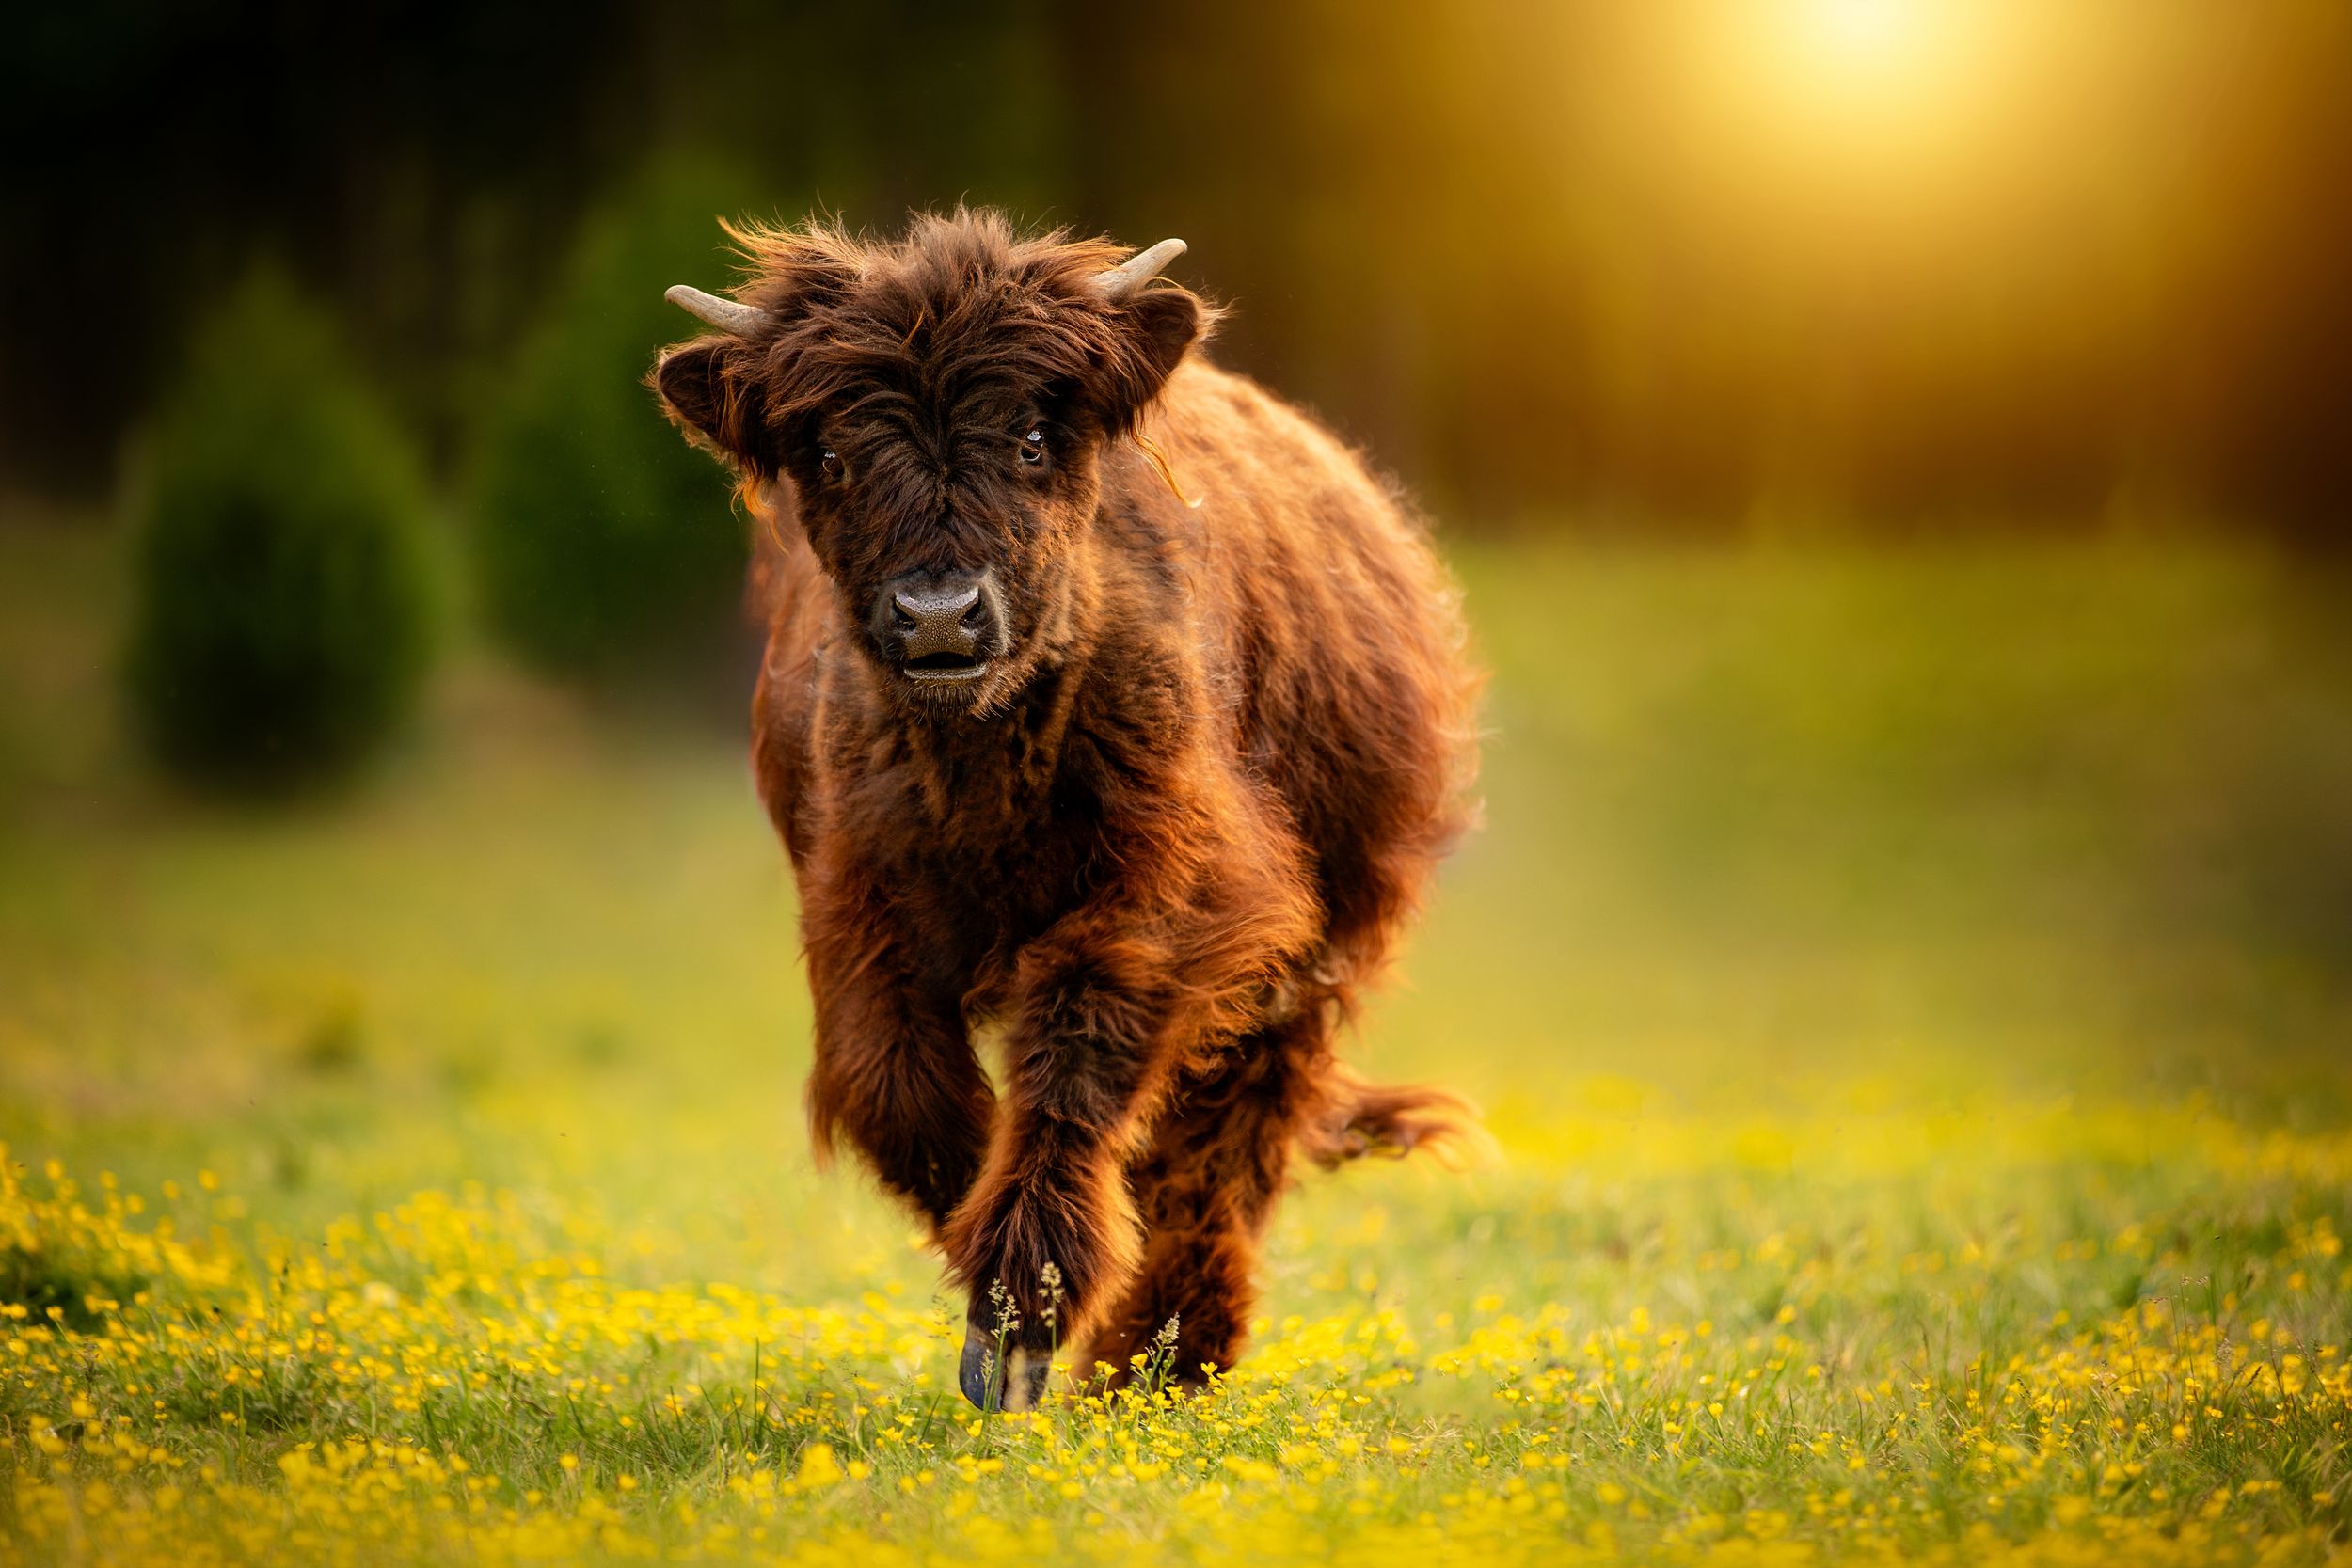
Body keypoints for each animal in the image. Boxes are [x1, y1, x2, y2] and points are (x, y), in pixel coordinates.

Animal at [653, 209, 1482, 1409]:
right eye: (832, 455)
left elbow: (1079, 1050)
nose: (938, 614)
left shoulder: (1177, 894)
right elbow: (896, 1081)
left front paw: (1022, 1316)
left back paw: (1162, 1364)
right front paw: (980, 1264)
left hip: (1320, 952)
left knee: (1224, 1145)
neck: (980, 764)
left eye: (1035, 441)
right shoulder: (856, 898)